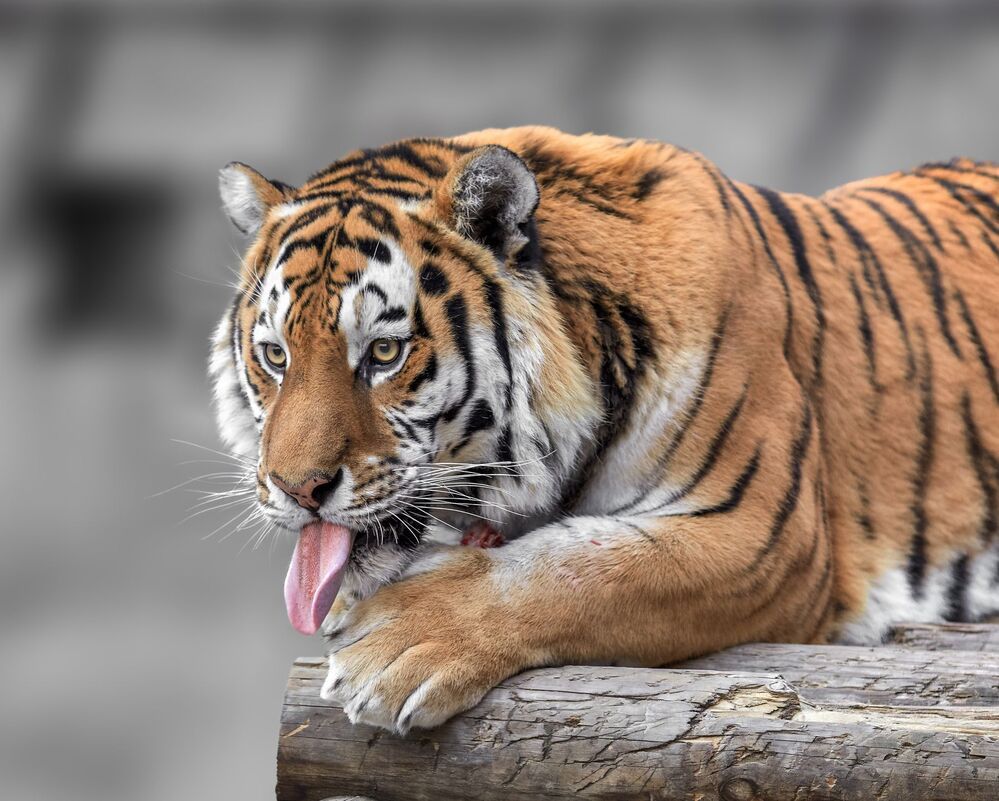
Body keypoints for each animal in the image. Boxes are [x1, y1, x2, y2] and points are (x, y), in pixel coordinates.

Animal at [210, 126, 999, 733]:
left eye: (382, 353)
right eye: (275, 355)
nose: (297, 489)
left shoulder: (767, 536)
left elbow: (580, 570)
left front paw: (395, 646)